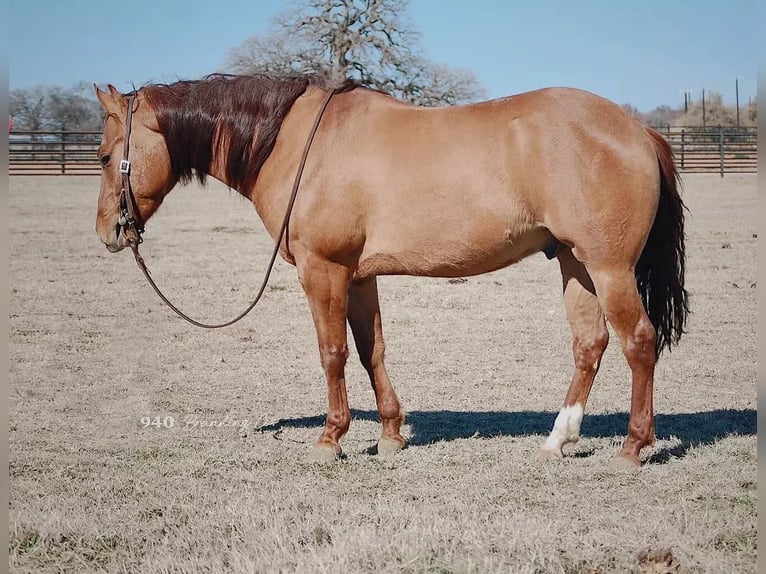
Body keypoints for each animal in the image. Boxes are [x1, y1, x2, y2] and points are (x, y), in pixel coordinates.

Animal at [94, 74, 688, 468]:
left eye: (102, 156)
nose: (107, 233)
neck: (298, 143)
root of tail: (638, 131)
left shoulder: (324, 270)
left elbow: (332, 353)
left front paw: (331, 438)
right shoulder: (359, 276)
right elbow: (370, 350)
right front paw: (390, 434)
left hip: (609, 267)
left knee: (638, 341)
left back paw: (633, 447)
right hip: (574, 264)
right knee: (590, 344)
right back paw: (558, 439)